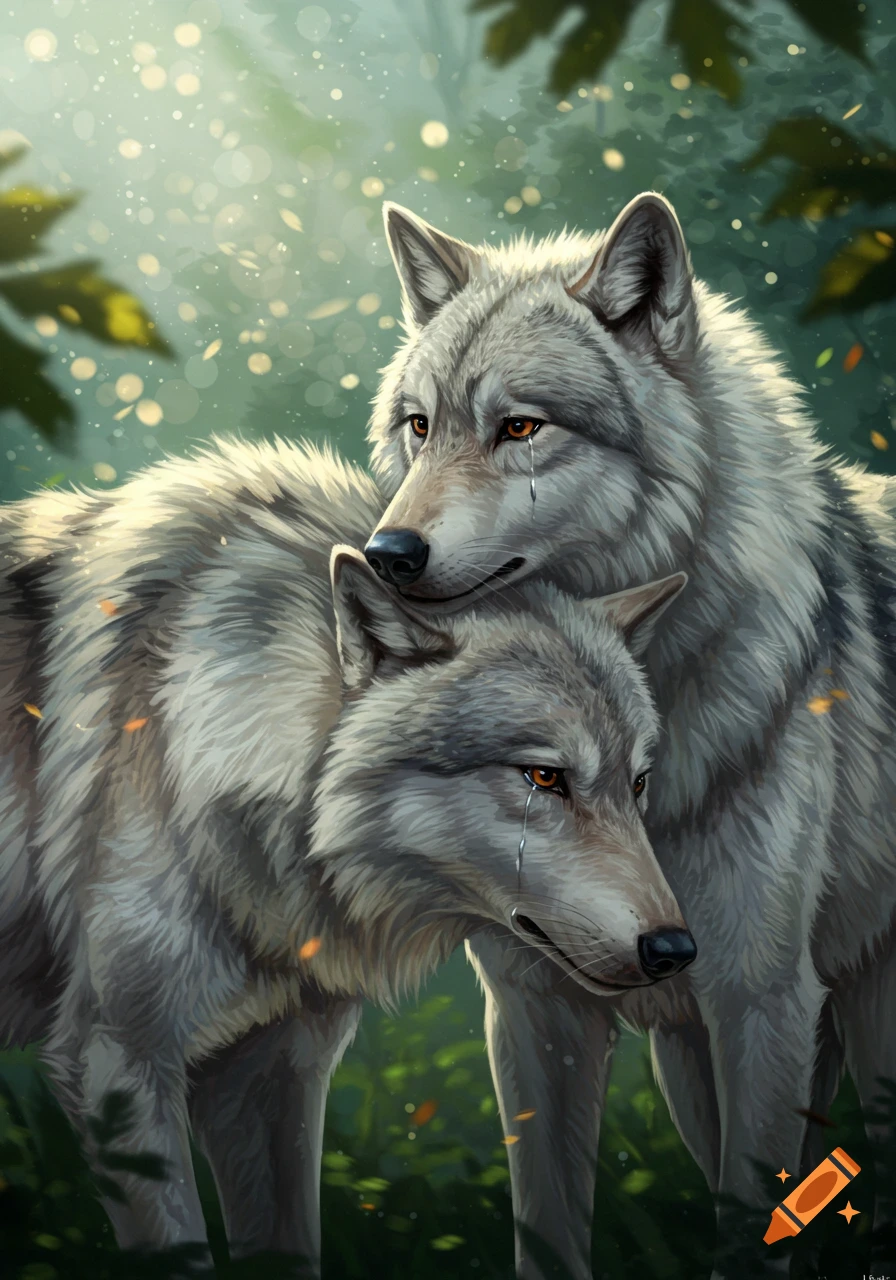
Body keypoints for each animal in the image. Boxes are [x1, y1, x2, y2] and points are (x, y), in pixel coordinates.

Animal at [362, 193, 896, 1279]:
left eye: (519, 426)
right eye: (419, 425)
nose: (386, 552)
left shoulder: (760, 1000)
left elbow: (752, 1226)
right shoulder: (536, 1006)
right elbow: (548, 1226)